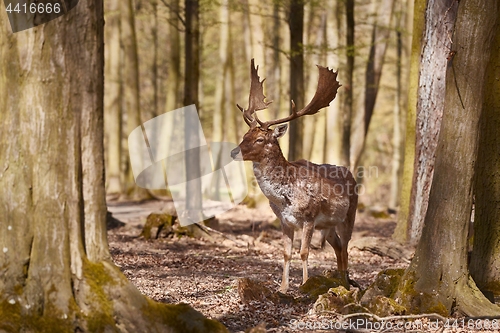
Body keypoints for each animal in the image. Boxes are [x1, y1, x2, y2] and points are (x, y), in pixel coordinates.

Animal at [232, 60, 358, 294]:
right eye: (245, 135)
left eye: (260, 139)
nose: (233, 152)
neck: (285, 198)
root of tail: (351, 174)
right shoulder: (284, 220)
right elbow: (286, 253)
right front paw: (283, 288)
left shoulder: (309, 217)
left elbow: (304, 252)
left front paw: (305, 285)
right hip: (328, 225)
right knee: (337, 246)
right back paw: (339, 279)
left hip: (349, 215)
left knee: (346, 247)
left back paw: (346, 282)